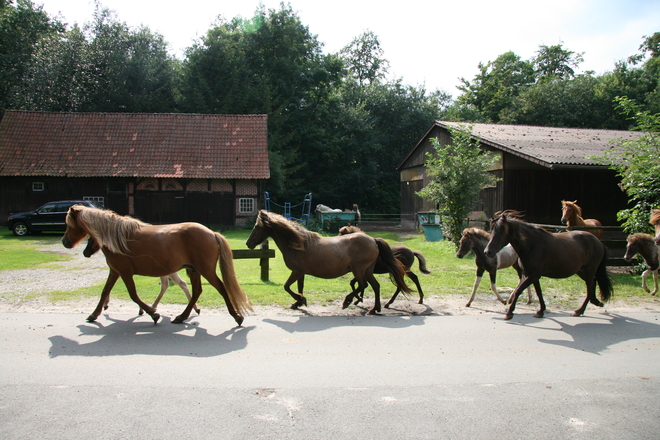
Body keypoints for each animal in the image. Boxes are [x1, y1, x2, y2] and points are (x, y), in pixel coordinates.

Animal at [62, 205, 253, 324]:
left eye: (69, 224)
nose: (64, 242)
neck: (118, 237)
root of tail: (212, 233)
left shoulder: (124, 273)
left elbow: (133, 295)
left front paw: (153, 314)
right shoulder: (115, 271)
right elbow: (104, 292)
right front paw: (94, 314)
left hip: (205, 270)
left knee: (220, 287)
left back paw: (236, 317)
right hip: (193, 271)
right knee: (196, 291)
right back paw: (182, 317)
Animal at [246, 209, 412, 312]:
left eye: (256, 227)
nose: (248, 244)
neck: (298, 244)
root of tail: (373, 240)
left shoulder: (296, 271)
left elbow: (287, 286)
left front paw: (300, 300)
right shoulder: (301, 273)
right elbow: (299, 287)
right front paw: (299, 302)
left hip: (358, 269)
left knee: (363, 285)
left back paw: (348, 301)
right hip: (368, 270)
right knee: (375, 286)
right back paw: (374, 309)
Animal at [482, 210, 612, 320]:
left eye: (501, 232)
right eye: (491, 231)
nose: (487, 252)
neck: (532, 245)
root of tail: (598, 242)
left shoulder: (533, 275)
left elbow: (519, 290)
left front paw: (509, 312)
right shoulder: (532, 275)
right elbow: (539, 292)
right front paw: (540, 311)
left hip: (589, 271)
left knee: (590, 287)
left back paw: (579, 311)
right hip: (581, 271)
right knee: (592, 285)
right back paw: (595, 302)